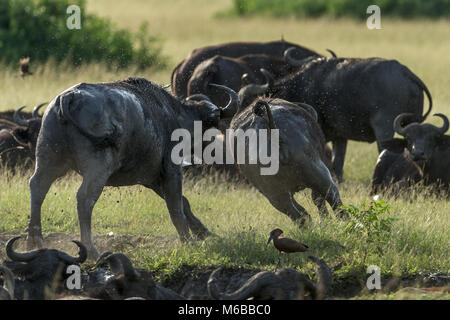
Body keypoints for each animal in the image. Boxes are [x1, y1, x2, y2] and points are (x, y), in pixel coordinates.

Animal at [27, 78, 239, 260]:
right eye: (212, 122)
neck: (174, 116)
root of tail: (69, 97)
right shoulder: (172, 170)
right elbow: (176, 207)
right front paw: (188, 241)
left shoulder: (151, 179)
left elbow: (183, 203)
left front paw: (204, 233)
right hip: (98, 168)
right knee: (84, 199)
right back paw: (93, 251)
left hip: (48, 158)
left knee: (38, 187)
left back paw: (34, 240)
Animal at [243, 47, 436, 182]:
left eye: (248, 101)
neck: (303, 86)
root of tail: (406, 72)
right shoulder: (340, 137)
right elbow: (338, 164)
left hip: (385, 128)